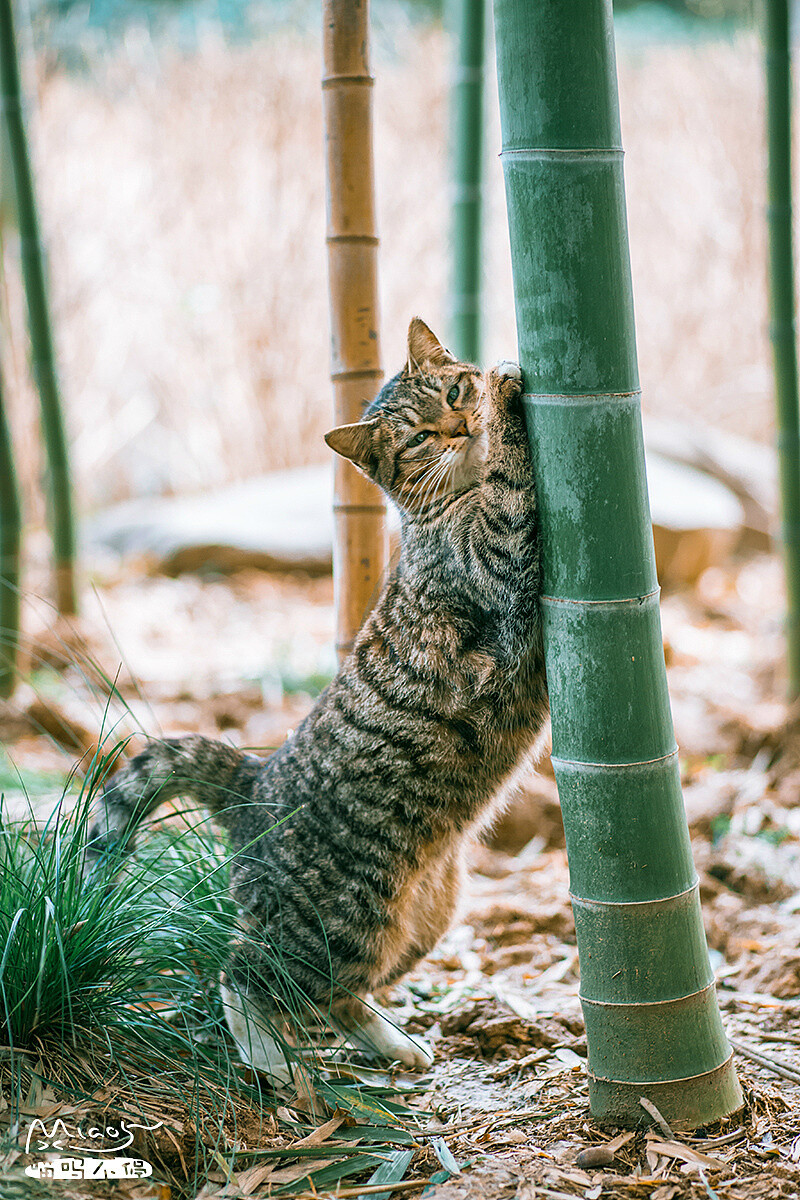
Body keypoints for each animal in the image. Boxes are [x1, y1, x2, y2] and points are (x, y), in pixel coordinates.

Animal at [87, 316, 551, 1080]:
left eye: (454, 392)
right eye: (418, 438)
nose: (460, 426)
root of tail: (252, 782)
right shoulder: (497, 556)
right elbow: (513, 488)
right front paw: (509, 399)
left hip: (421, 922)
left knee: (337, 997)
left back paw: (394, 1045)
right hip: (334, 923)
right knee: (243, 972)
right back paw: (273, 1063)